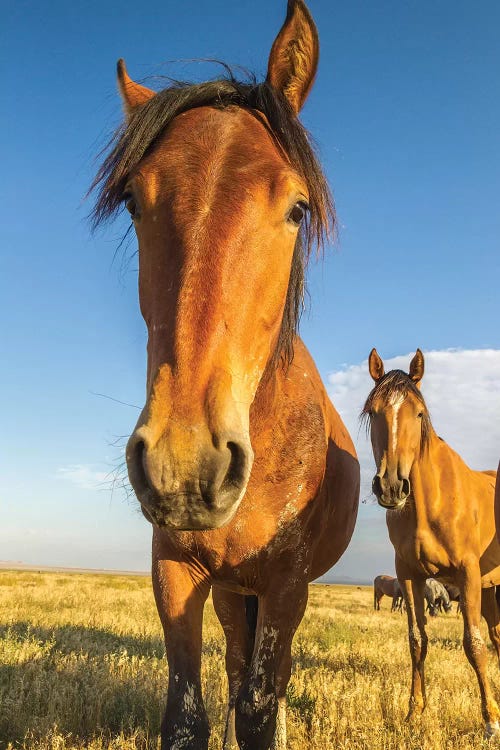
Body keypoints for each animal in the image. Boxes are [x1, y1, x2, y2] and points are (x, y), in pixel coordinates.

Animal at [91, 2, 360, 748]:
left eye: (297, 207)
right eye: (134, 201)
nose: (186, 466)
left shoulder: (286, 586)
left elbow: (260, 711)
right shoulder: (175, 570)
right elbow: (189, 717)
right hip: (232, 595)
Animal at [364, 352, 500, 740]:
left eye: (419, 413)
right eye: (373, 412)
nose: (392, 486)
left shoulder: (468, 574)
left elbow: (473, 643)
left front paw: (491, 720)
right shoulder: (409, 575)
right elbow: (417, 640)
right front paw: (414, 712)